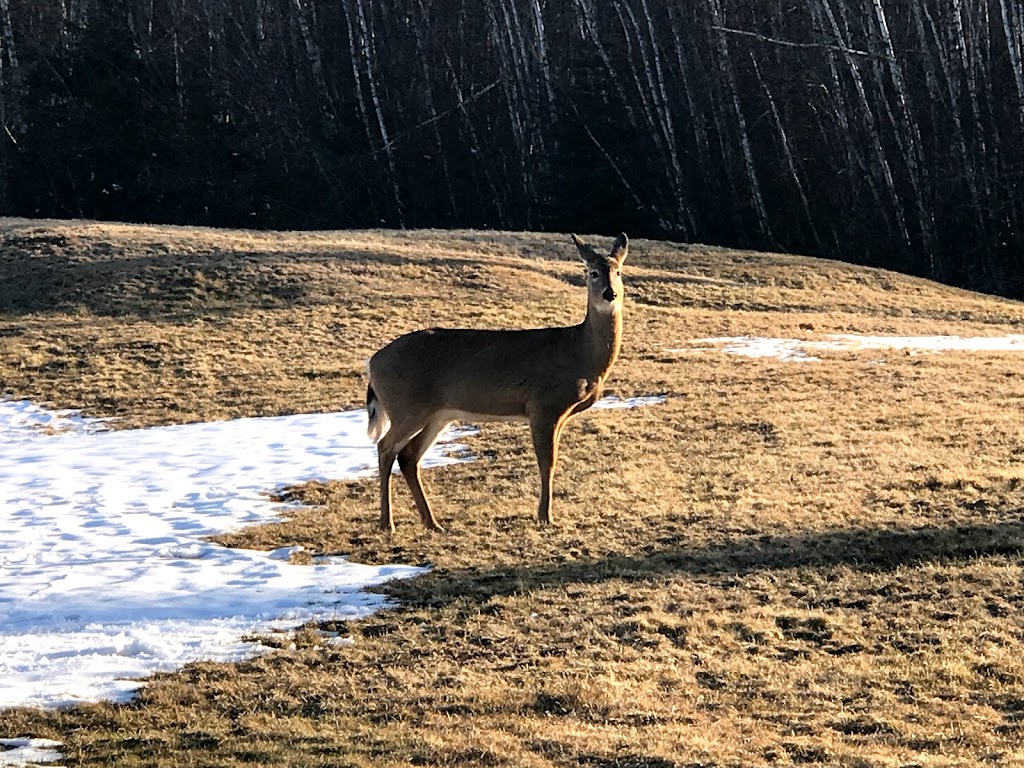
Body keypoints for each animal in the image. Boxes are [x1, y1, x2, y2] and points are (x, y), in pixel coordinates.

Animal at [364, 234, 626, 536]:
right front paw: (545, 517)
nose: (610, 294)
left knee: (408, 456)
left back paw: (432, 522)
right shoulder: (543, 405)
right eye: (592, 272)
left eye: (618, 271)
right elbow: (547, 462)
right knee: (385, 448)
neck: (580, 351)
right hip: (407, 406)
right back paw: (388, 523)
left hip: (438, 414)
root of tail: (372, 362)